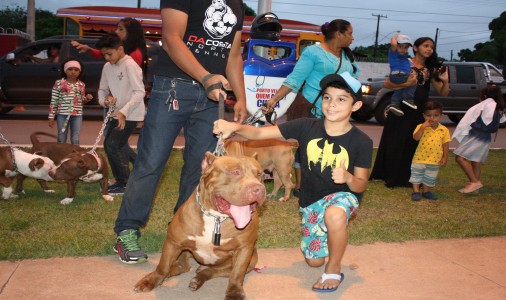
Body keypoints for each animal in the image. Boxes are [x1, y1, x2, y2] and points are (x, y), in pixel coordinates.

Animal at [134, 152, 268, 300]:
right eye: (235, 172)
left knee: (214, 270)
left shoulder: (244, 249)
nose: (259, 189)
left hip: (252, 259)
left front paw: (235, 293)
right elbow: (163, 266)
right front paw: (152, 280)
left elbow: (237, 274)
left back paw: (199, 277)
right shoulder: (172, 242)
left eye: (260, 174)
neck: (216, 218)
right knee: (181, 266)